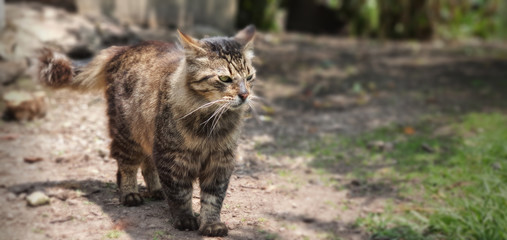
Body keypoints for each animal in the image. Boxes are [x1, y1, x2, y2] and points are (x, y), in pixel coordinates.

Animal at [38, 24, 258, 236]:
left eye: (249, 77)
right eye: (225, 79)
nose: (245, 95)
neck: (211, 124)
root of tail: (124, 48)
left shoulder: (220, 162)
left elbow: (213, 199)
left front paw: (212, 225)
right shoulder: (173, 158)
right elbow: (181, 194)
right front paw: (185, 219)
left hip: (149, 138)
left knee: (147, 165)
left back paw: (156, 190)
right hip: (127, 136)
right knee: (125, 168)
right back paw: (130, 194)